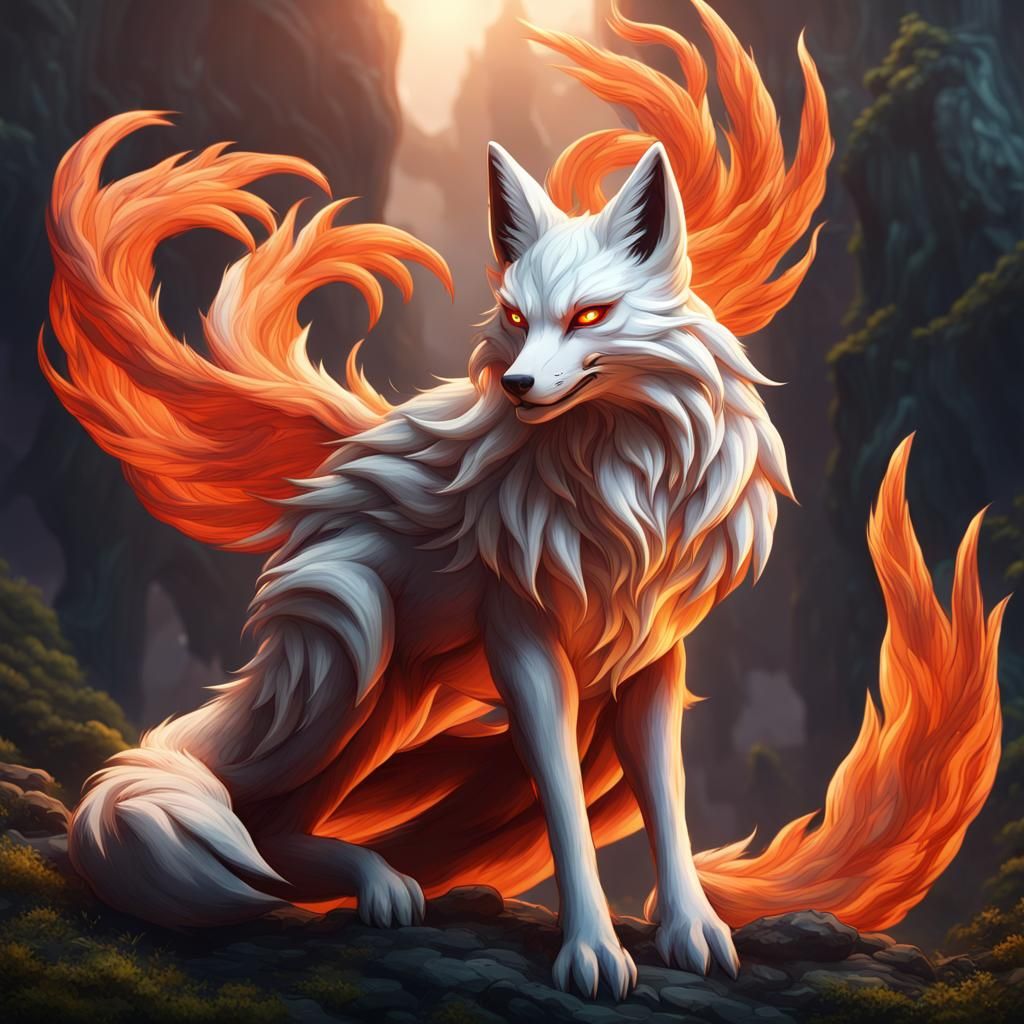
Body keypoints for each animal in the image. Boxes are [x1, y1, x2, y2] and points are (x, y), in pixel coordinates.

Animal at [42, 1, 1003, 1000]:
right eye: (513, 316)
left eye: (588, 317)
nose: (516, 385)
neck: (619, 486)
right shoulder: (523, 644)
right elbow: (567, 813)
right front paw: (592, 951)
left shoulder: (654, 654)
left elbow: (668, 801)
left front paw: (693, 929)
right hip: (353, 649)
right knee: (250, 820)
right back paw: (374, 883)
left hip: (398, 705)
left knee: (274, 826)